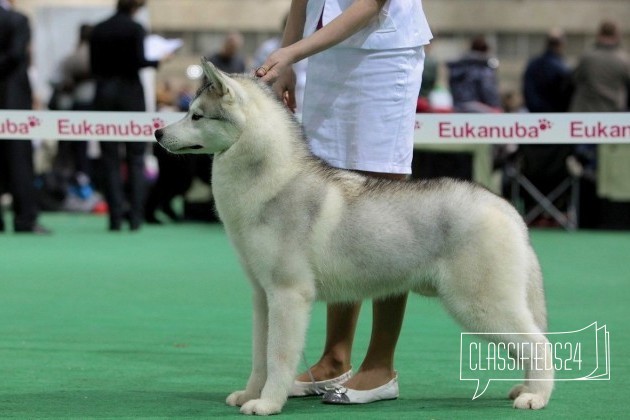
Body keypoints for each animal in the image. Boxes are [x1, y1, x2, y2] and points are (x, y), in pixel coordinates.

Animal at [156, 60, 556, 416]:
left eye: (196, 116)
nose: (158, 133)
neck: (272, 181)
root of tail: (503, 205)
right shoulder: (261, 296)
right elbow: (260, 356)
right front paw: (250, 394)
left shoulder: (288, 295)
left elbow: (278, 356)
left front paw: (267, 404)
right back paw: (526, 388)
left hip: (480, 305)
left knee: (539, 346)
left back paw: (536, 397)